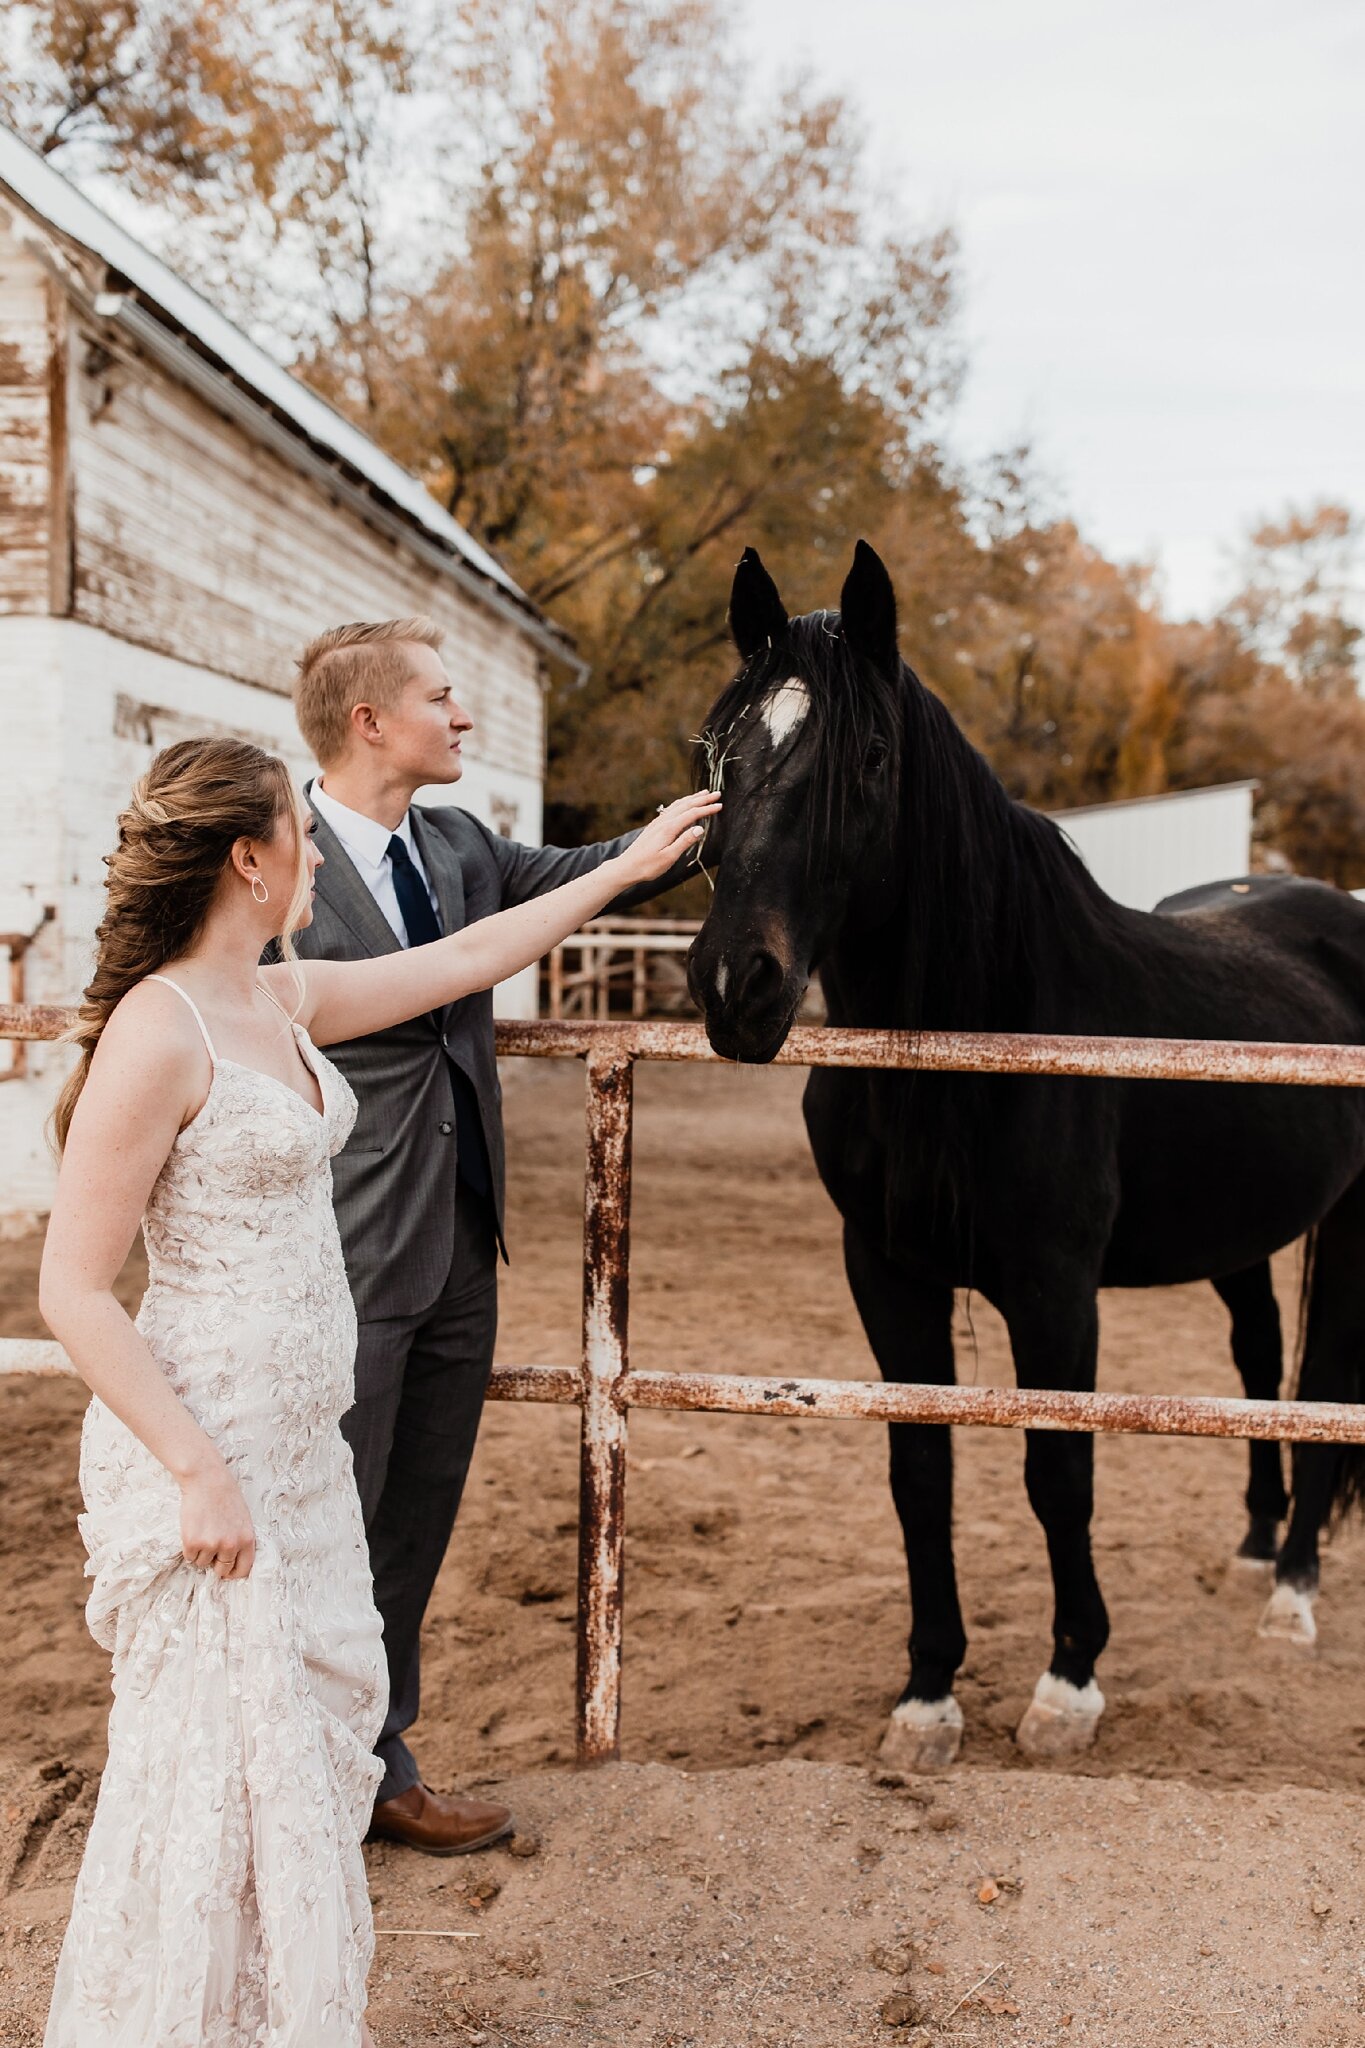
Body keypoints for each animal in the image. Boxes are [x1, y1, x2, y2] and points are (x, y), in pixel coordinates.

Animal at [687, 540, 1365, 1761]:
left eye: (869, 757)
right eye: (719, 751)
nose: (734, 986)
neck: (975, 1039)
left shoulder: (1056, 1291)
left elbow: (1059, 1468)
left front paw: (1068, 1682)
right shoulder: (887, 1276)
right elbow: (920, 1472)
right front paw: (926, 1695)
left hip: (1349, 1218)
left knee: (1323, 1380)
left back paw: (1292, 1595)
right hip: (1241, 1233)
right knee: (1257, 1362)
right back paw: (1255, 1550)